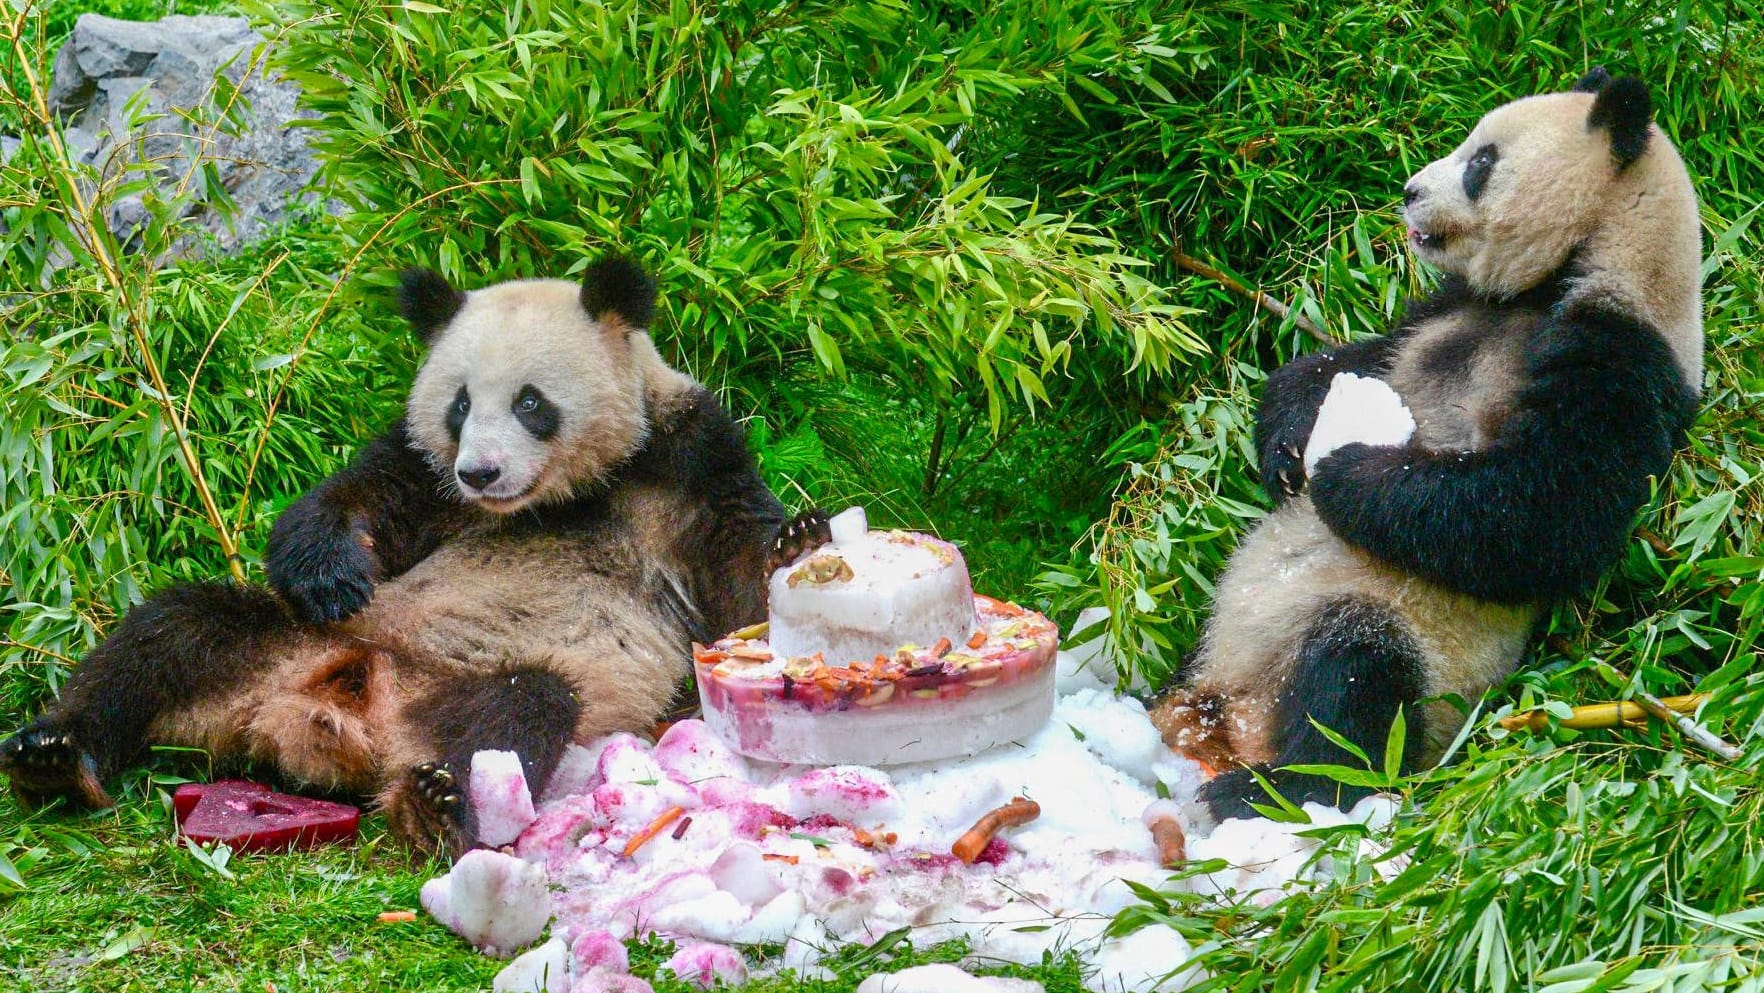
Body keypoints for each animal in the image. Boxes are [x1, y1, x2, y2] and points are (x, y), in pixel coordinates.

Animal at [0, 253, 822, 853]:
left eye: (530, 402)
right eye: (459, 404)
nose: (481, 472)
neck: (565, 495)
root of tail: (316, 715)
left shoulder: (685, 457)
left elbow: (736, 588)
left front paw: (801, 541)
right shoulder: (426, 472)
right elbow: (358, 499)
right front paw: (329, 572)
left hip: (480, 691)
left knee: (518, 709)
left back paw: (434, 804)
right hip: (274, 644)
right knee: (170, 632)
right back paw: (54, 756)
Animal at [1150, 70, 1700, 825]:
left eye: (1481, 162)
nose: (1409, 190)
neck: (1577, 268)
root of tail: (1226, 718)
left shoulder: (1623, 362)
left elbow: (1535, 513)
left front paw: (1342, 467)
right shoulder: (1446, 311)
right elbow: (1348, 359)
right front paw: (1290, 446)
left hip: (1418, 659)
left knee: (1353, 684)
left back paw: (1271, 788)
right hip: (1212, 648)